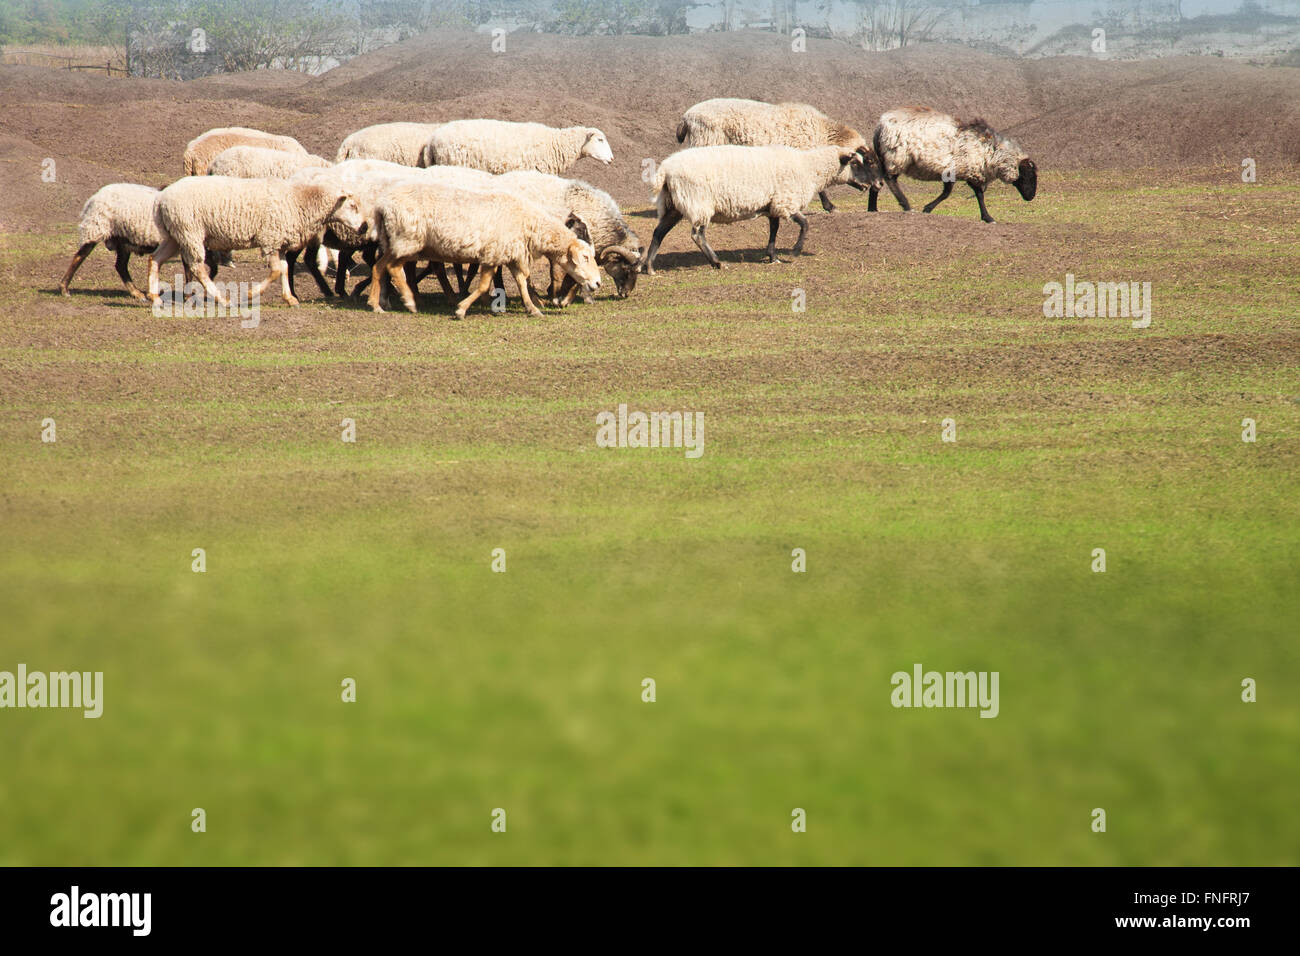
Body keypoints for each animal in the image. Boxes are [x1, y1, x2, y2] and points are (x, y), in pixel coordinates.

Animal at [146, 176, 366, 308]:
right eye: (352, 205)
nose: (364, 227)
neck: (300, 201)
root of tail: (162, 198)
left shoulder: (279, 243)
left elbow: (285, 269)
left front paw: (290, 298)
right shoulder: (270, 240)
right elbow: (276, 271)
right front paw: (251, 294)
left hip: (175, 234)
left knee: (155, 259)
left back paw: (154, 297)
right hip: (190, 231)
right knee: (197, 267)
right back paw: (223, 299)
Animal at [366, 182, 602, 320]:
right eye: (585, 257)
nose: (598, 283)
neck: (530, 224)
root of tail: (381, 206)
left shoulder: (509, 254)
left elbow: (521, 282)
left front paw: (533, 308)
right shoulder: (493, 254)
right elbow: (483, 286)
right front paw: (461, 310)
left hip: (397, 241)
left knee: (379, 267)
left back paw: (376, 305)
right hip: (407, 240)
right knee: (392, 268)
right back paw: (408, 301)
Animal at [640, 144, 884, 273]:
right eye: (857, 163)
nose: (879, 184)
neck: (809, 169)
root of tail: (665, 171)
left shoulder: (773, 203)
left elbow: (774, 230)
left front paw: (773, 256)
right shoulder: (786, 200)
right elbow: (805, 224)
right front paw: (794, 251)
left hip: (673, 205)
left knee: (659, 232)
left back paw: (649, 266)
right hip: (699, 202)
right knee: (697, 234)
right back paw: (716, 262)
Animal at [677, 98, 871, 213]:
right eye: (859, 162)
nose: (869, 186)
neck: (822, 134)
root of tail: (686, 117)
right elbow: (820, 186)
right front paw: (830, 207)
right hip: (705, 141)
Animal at [868, 107, 1038, 223]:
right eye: (1028, 176)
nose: (1031, 197)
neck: (992, 152)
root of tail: (880, 126)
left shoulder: (955, 172)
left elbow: (948, 193)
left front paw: (928, 208)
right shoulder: (969, 170)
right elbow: (976, 194)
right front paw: (988, 217)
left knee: (878, 180)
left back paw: (872, 209)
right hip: (896, 156)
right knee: (890, 179)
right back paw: (906, 205)